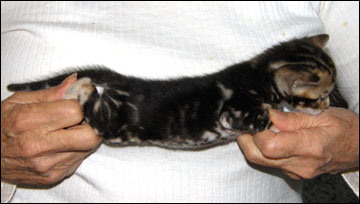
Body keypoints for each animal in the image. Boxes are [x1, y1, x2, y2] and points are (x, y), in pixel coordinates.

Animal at [8, 34, 346, 151]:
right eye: (320, 95)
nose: (327, 106)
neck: (259, 73)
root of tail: (131, 83)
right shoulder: (236, 113)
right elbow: (265, 118)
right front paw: (278, 120)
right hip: (114, 124)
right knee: (88, 92)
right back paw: (76, 86)